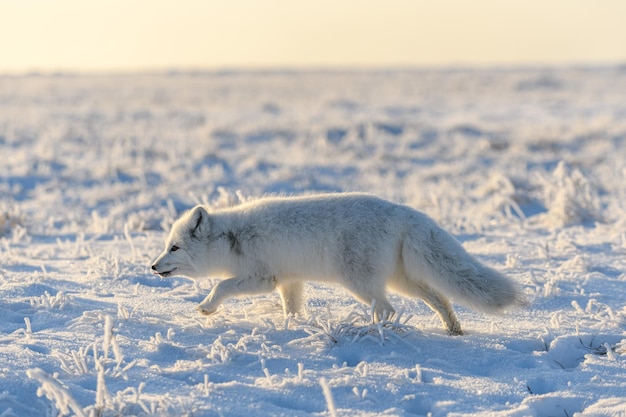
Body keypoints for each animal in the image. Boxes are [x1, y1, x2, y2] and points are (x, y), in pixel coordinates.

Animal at [150, 193, 520, 334]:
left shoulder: (262, 277)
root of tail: (404, 212)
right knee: (440, 298)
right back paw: (454, 330)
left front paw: (207, 307)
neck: (231, 239)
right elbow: (292, 308)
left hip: (360, 283)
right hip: (403, 280)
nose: (153, 267)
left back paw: (372, 332)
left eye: (174, 247)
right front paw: (293, 325)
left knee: (387, 308)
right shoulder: (289, 281)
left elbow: (221, 284)